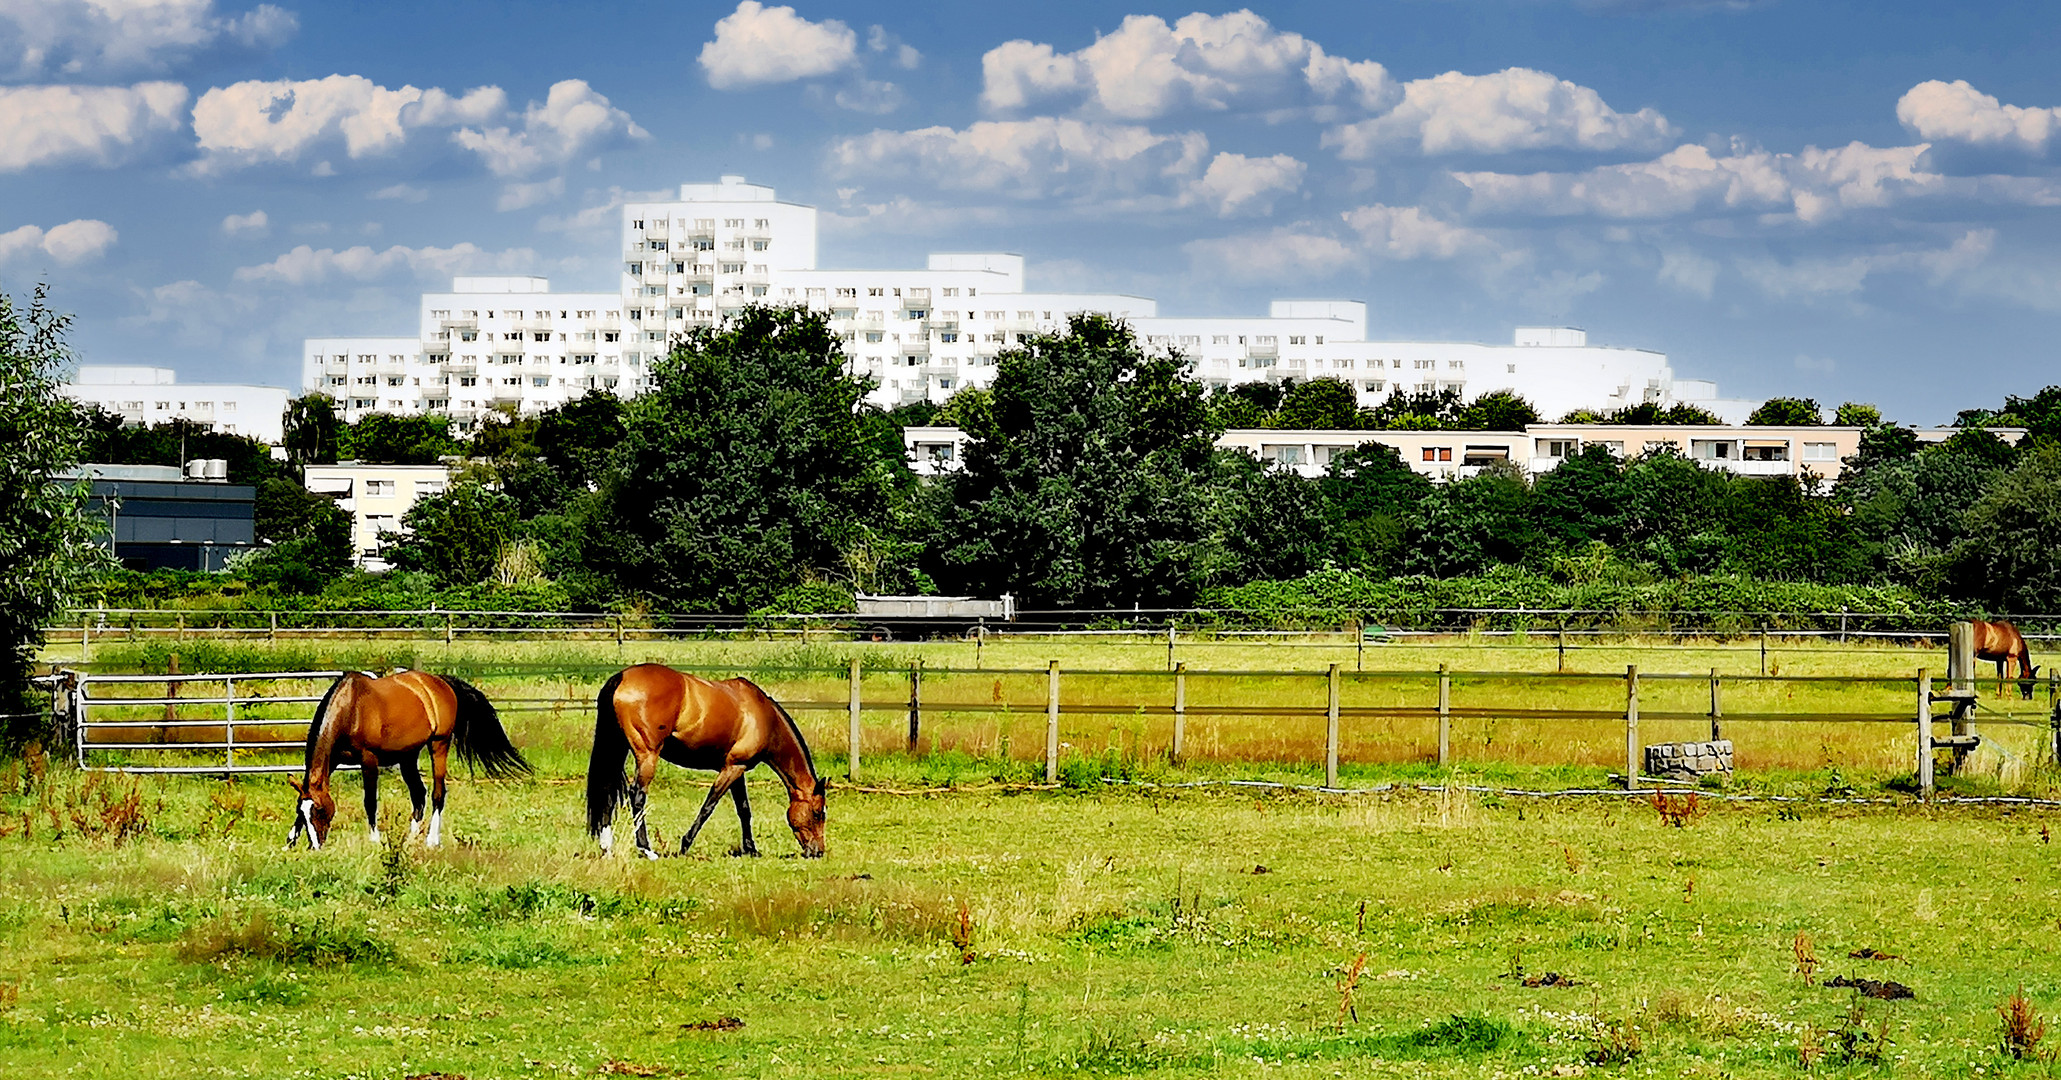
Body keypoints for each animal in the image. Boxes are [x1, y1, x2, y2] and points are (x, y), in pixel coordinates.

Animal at [286, 667, 535, 853]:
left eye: (319, 810)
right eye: (303, 812)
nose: (315, 846)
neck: (352, 708)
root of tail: (440, 682)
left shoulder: (369, 759)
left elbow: (370, 801)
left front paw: (375, 840)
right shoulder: (334, 761)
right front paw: (289, 842)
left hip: (439, 744)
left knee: (437, 794)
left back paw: (431, 841)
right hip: (408, 756)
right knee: (419, 795)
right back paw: (410, 839)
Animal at [585, 663, 824, 857]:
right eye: (818, 813)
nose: (818, 851)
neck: (765, 717)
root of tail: (622, 677)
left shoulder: (736, 768)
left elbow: (744, 809)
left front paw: (751, 849)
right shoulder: (732, 768)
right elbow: (709, 805)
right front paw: (685, 844)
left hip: (616, 747)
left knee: (606, 790)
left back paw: (606, 847)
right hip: (647, 756)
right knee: (637, 795)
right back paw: (646, 849)